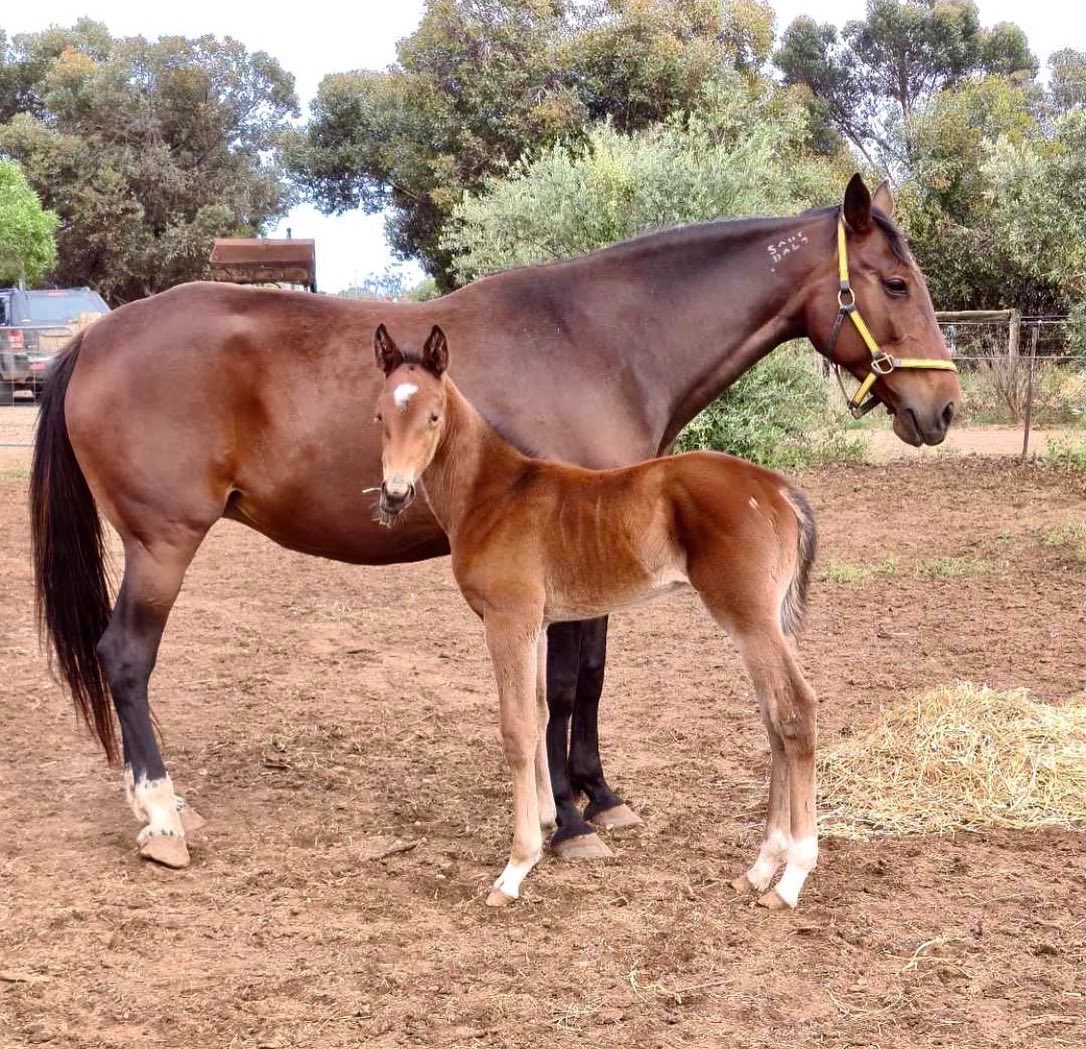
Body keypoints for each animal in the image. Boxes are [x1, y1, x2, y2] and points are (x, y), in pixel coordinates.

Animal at [371, 322, 819, 908]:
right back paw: (763, 866)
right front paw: (546, 824)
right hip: (761, 622)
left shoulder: (507, 621)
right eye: (380, 414)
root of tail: (778, 489)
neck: (494, 495)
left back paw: (790, 878)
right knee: (773, 716)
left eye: (433, 415)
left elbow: (517, 728)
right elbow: (540, 712)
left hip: (750, 617)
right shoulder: (537, 623)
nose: (394, 493)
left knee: (795, 710)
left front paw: (516, 867)